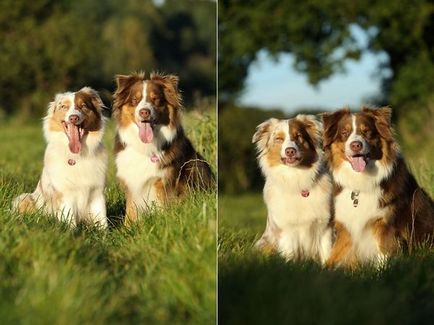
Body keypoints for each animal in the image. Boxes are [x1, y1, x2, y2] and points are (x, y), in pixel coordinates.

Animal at [12, 87, 108, 227]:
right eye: (64, 107)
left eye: (83, 106)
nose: (73, 118)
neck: (78, 155)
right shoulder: (65, 193)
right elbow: (70, 219)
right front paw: (71, 231)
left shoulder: (96, 192)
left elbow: (101, 218)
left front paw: (104, 231)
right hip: (24, 198)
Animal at [112, 71, 213, 224]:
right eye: (135, 100)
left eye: (156, 100)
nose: (144, 112)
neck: (145, 147)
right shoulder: (132, 184)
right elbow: (130, 213)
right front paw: (128, 228)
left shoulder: (164, 183)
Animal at [251, 115, 332, 262]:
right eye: (279, 139)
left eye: (298, 136)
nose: (290, 151)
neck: (296, 178)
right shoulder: (286, 230)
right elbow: (290, 254)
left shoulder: (325, 226)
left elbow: (326, 252)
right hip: (265, 244)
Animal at [322, 105, 434, 266]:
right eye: (344, 133)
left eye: (367, 131)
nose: (356, 145)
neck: (361, 182)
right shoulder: (347, 229)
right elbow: (336, 256)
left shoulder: (385, 224)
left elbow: (383, 255)